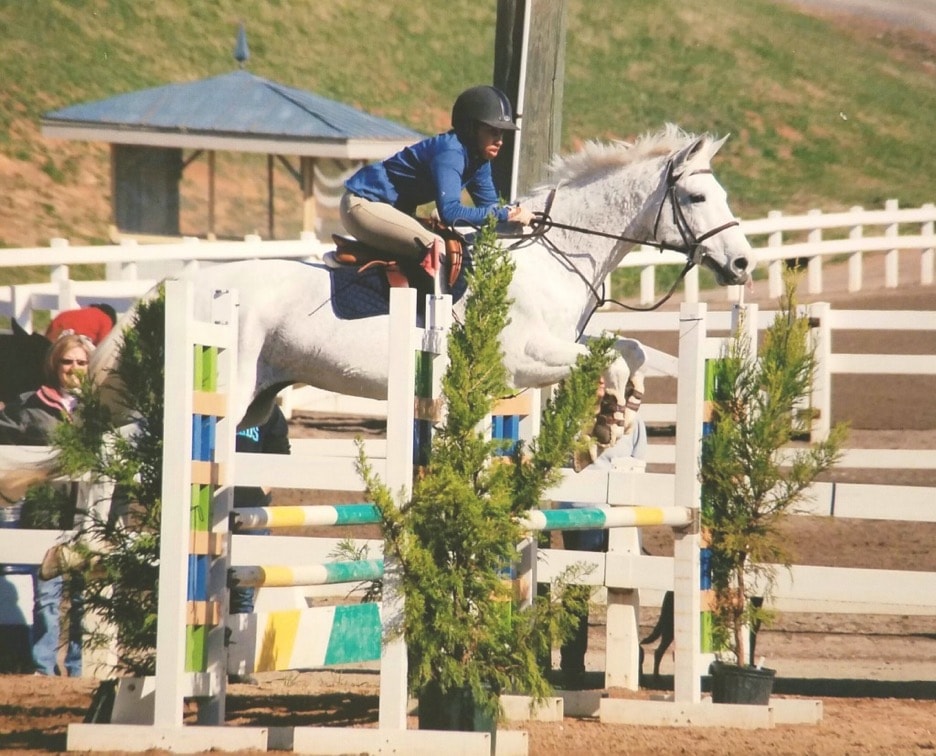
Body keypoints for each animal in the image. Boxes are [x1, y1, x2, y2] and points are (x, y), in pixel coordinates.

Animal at [86, 124, 753, 434]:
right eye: (697, 196)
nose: (743, 264)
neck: (555, 255)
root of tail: (183, 287)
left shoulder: (558, 344)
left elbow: (630, 347)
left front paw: (629, 403)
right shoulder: (522, 359)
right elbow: (609, 359)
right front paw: (611, 414)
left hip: (258, 395)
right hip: (219, 390)